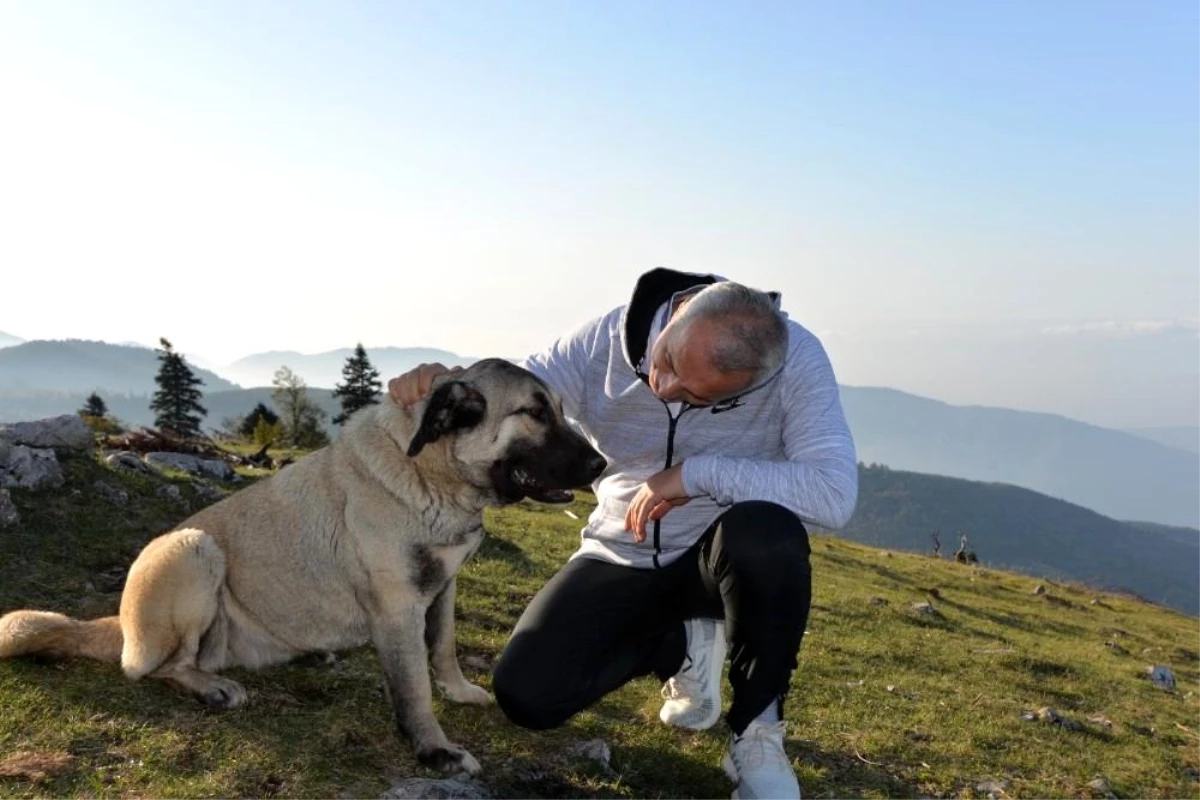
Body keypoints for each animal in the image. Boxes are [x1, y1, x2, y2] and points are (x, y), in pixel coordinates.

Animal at [0, 362, 604, 777]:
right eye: (535, 413)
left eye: (558, 407)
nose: (600, 462)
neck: (433, 473)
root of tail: (122, 626)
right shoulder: (398, 607)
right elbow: (413, 689)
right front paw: (435, 750)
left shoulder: (443, 587)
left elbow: (443, 648)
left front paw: (457, 691)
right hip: (194, 550)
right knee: (155, 667)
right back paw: (211, 687)